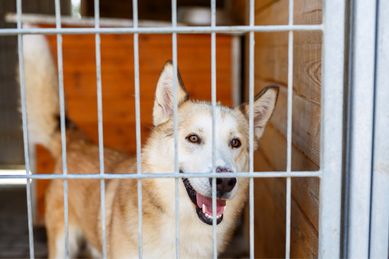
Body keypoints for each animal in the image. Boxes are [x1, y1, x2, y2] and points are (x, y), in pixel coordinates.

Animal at [24, 33, 278, 258]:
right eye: (193, 138)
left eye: (235, 143)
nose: (225, 181)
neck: (183, 227)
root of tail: (78, 142)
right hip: (63, 243)